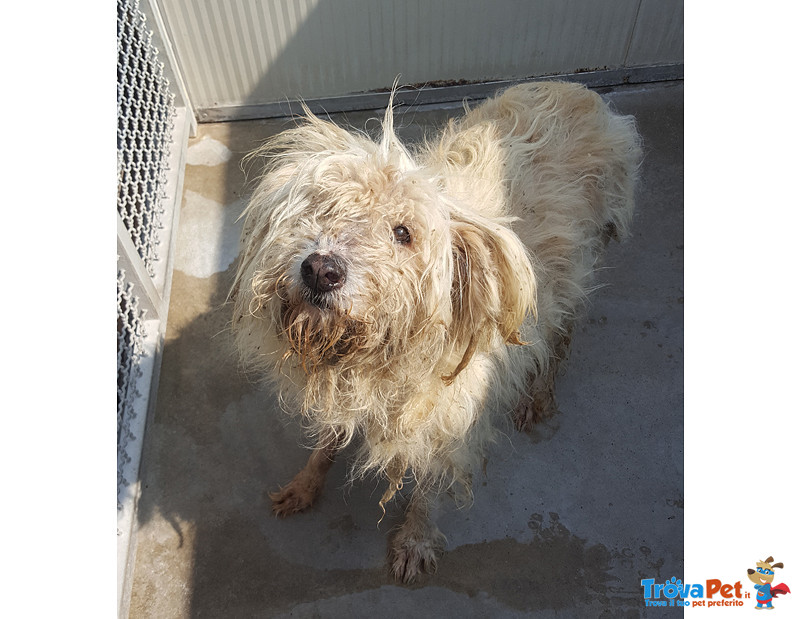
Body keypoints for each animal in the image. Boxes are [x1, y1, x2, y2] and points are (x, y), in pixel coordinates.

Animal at [228, 80, 640, 584]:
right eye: (322, 208)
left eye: (403, 233)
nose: (321, 270)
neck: (379, 355)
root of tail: (582, 90)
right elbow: (326, 440)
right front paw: (306, 484)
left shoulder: (449, 418)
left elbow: (428, 488)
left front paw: (414, 540)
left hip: (577, 275)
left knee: (561, 337)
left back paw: (539, 394)